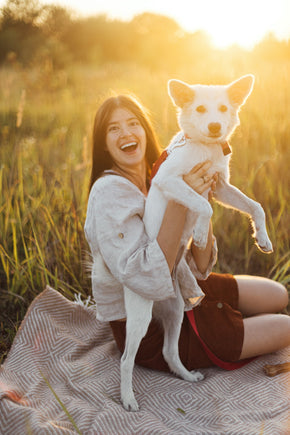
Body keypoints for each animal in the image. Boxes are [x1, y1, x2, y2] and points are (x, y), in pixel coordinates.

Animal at [119, 75, 272, 412]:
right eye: (200, 109)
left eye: (224, 108)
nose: (215, 127)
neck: (205, 148)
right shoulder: (172, 180)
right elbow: (204, 206)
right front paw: (201, 232)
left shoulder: (221, 186)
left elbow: (255, 206)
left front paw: (263, 238)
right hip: (139, 318)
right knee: (125, 360)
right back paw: (127, 399)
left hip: (176, 312)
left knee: (169, 351)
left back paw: (187, 376)